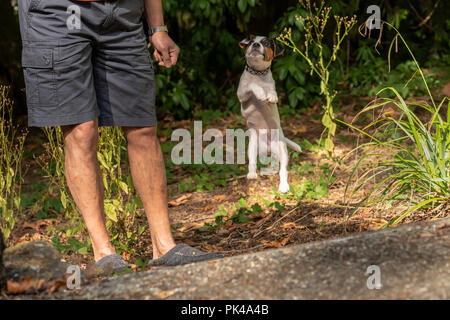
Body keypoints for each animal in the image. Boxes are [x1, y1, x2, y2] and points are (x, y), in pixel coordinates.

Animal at [236, 36, 302, 194]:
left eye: (266, 43)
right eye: (250, 41)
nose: (255, 44)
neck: (258, 74)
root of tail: (267, 148)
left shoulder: (271, 91)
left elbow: (272, 92)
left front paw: (270, 96)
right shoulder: (242, 94)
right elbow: (252, 86)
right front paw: (260, 93)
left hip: (282, 151)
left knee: (283, 171)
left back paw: (283, 186)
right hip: (252, 147)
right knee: (253, 163)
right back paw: (252, 174)